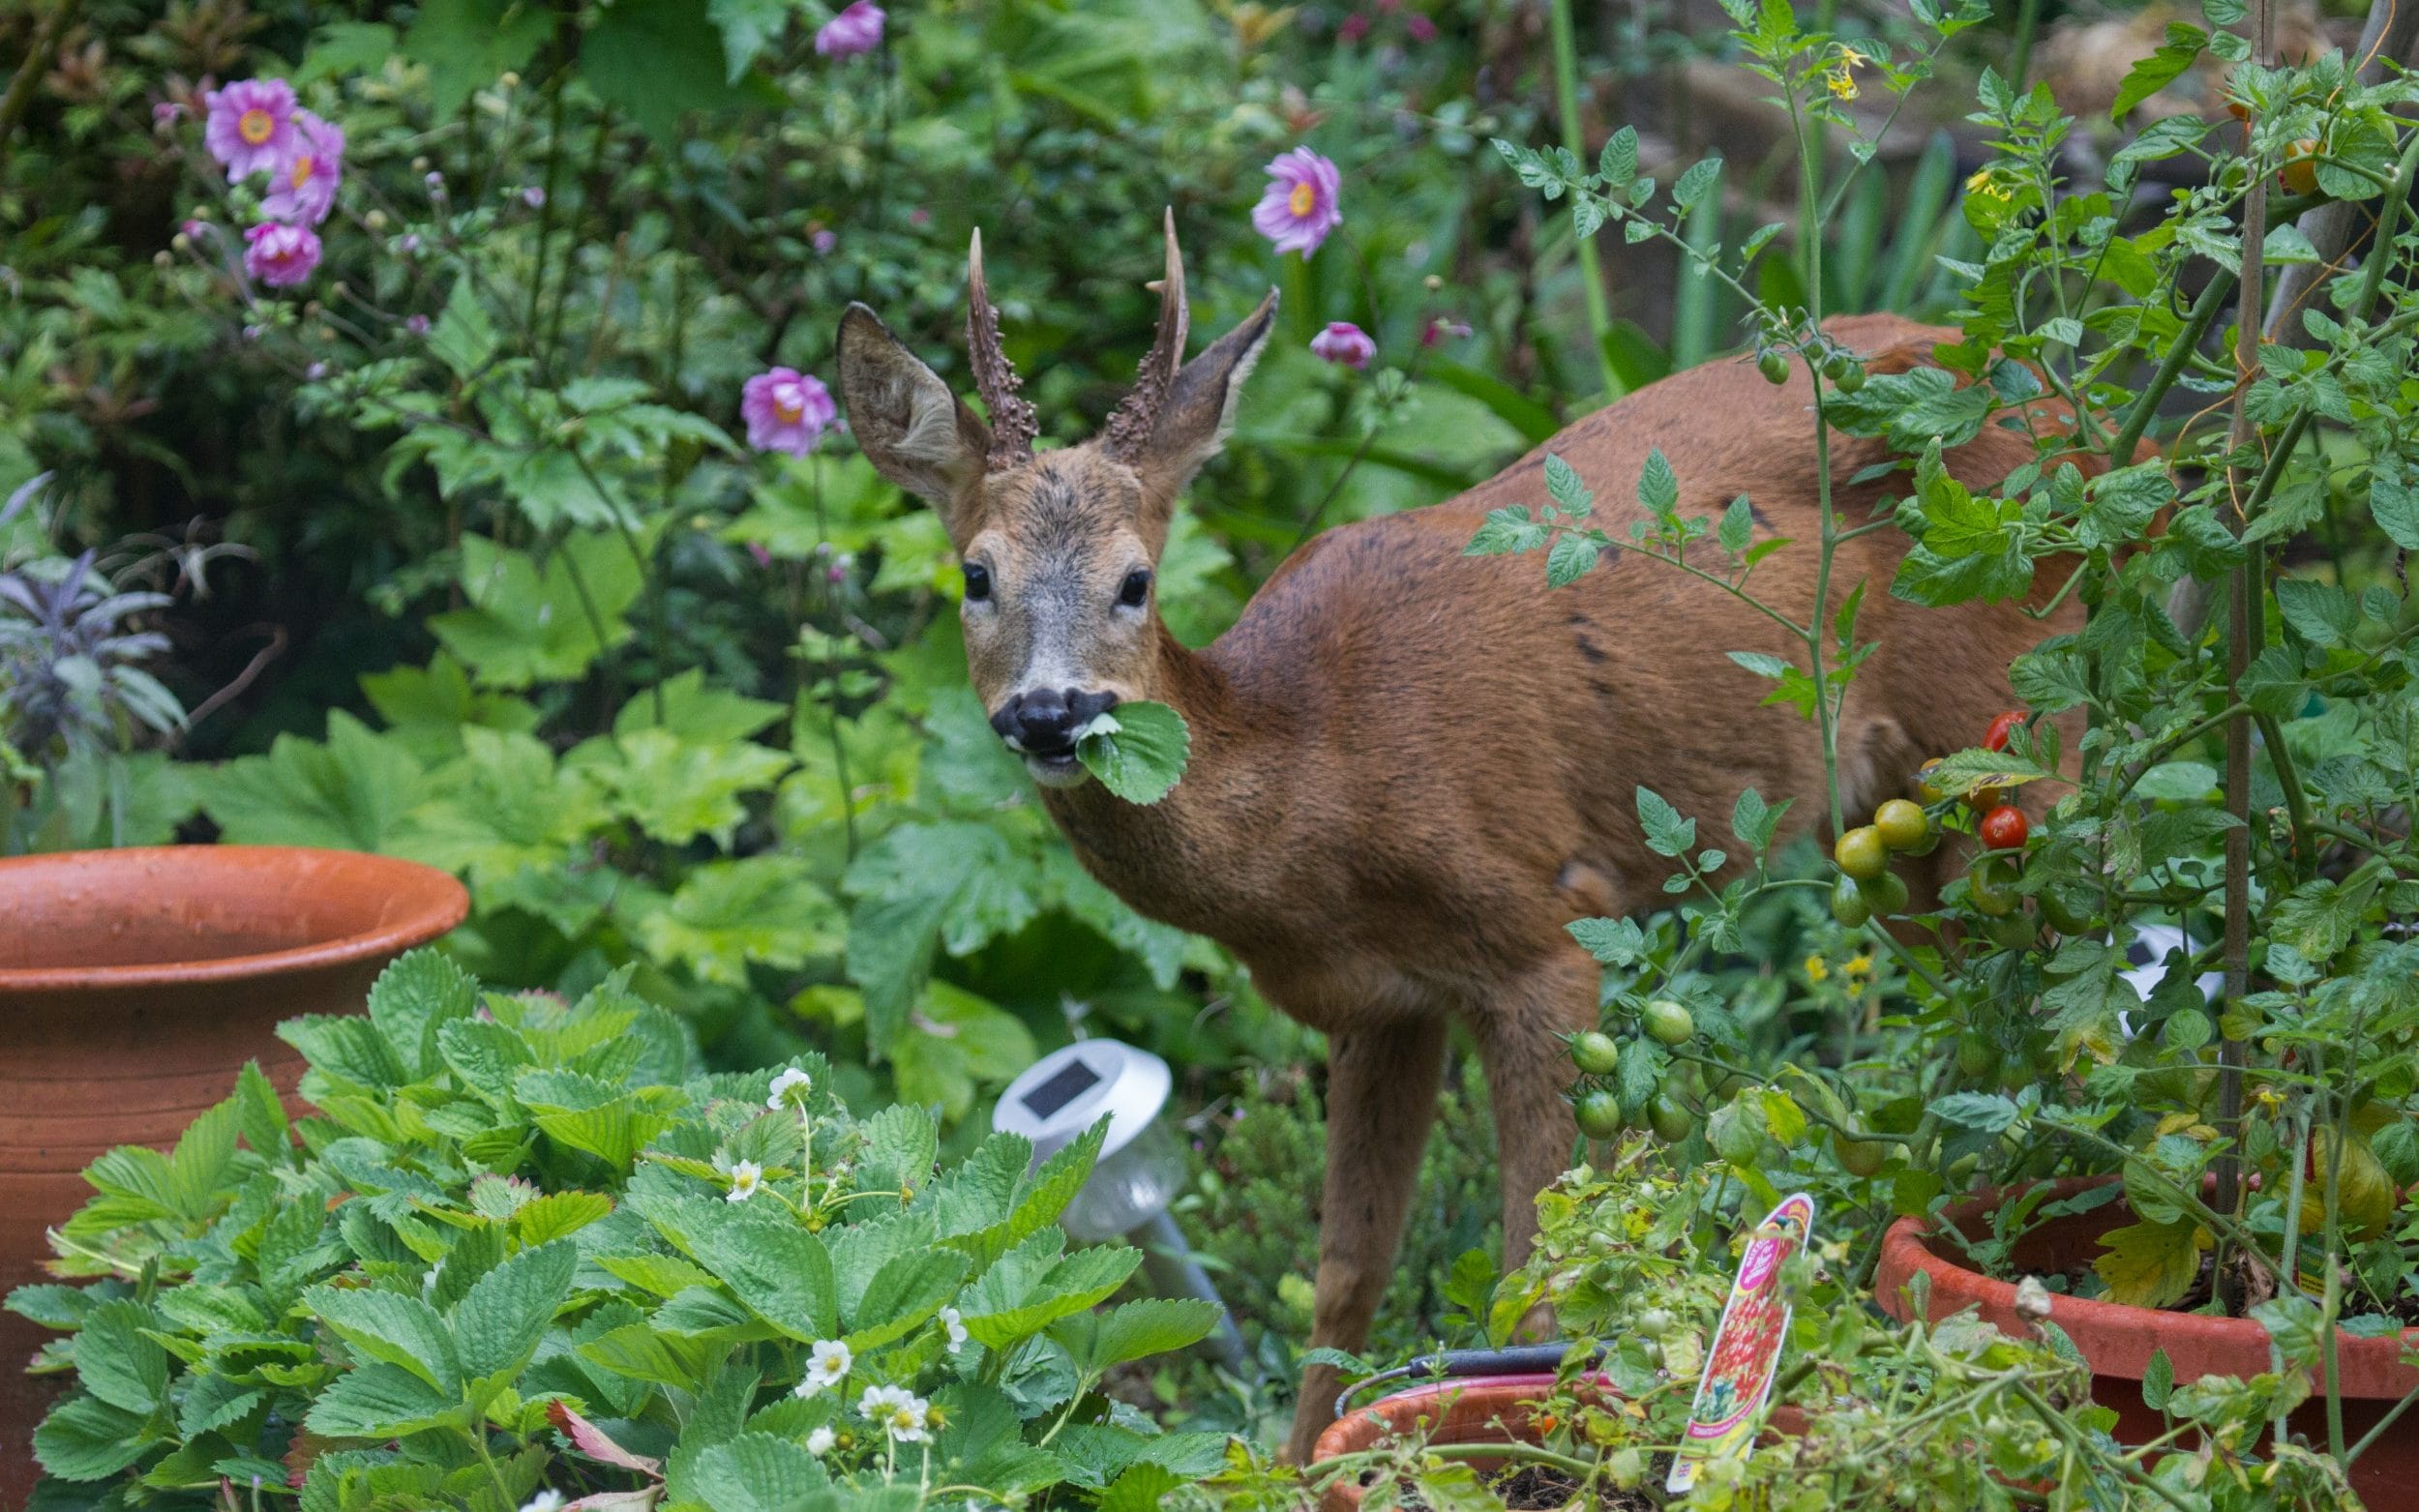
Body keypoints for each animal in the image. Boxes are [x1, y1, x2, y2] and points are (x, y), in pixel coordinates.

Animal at [834, 214, 2088, 1463]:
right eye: (975, 574)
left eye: (1135, 580)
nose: (1052, 714)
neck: (1320, 781)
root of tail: (2060, 397)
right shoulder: (1376, 1004)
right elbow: (1346, 1268)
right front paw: (1304, 1463)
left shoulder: (1547, 929)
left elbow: (1541, 1272)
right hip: (1886, 823)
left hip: (2015, 724)